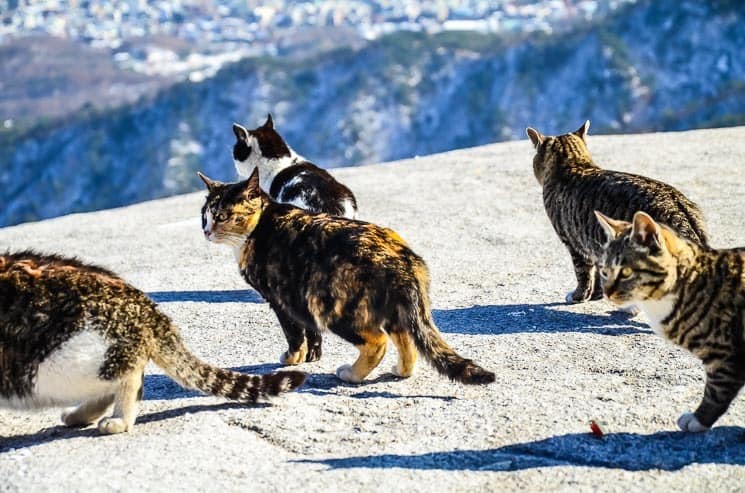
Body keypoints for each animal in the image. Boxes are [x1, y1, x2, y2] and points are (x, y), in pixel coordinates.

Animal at [199, 172, 494, 384]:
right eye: (204, 216)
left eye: (222, 216)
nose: (206, 231)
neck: (261, 224)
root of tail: (404, 260)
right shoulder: (297, 297)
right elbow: (310, 332)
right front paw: (310, 356)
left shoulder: (282, 300)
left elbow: (294, 334)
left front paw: (292, 358)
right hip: (390, 309)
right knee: (405, 340)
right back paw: (400, 370)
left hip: (329, 305)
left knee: (378, 342)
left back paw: (351, 374)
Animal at [528, 119, 708, 304]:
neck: (575, 164)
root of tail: (679, 207)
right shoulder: (595, 247)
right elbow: (598, 273)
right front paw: (597, 294)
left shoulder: (574, 244)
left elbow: (583, 275)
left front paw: (579, 295)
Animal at [592, 211, 744, 430]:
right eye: (604, 271)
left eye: (626, 272)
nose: (606, 293)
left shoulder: (725, 355)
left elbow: (716, 390)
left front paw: (699, 419)